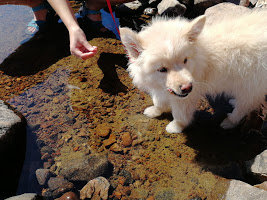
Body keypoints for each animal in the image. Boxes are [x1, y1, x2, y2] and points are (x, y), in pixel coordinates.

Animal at [120, 8, 267, 134]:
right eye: (162, 69)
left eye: (185, 60)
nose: (187, 87)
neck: (201, 54)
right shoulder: (161, 87)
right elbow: (159, 100)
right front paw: (155, 111)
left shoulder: (186, 97)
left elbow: (180, 114)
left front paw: (176, 127)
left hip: (252, 83)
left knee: (245, 105)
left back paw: (230, 121)